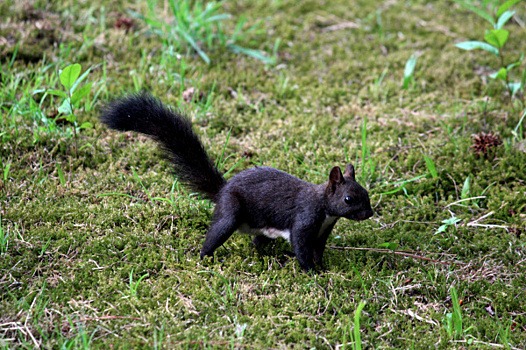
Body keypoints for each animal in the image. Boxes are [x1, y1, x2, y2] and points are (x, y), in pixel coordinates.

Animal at [102, 94, 376, 272]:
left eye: (366, 193)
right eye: (348, 199)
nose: (369, 214)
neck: (325, 210)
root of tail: (222, 190)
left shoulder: (323, 231)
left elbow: (318, 249)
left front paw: (323, 266)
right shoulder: (304, 220)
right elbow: (301, 248)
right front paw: (312, 271)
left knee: (258, 241)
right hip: (230, 213)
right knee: (215, 235)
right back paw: (206, 258)